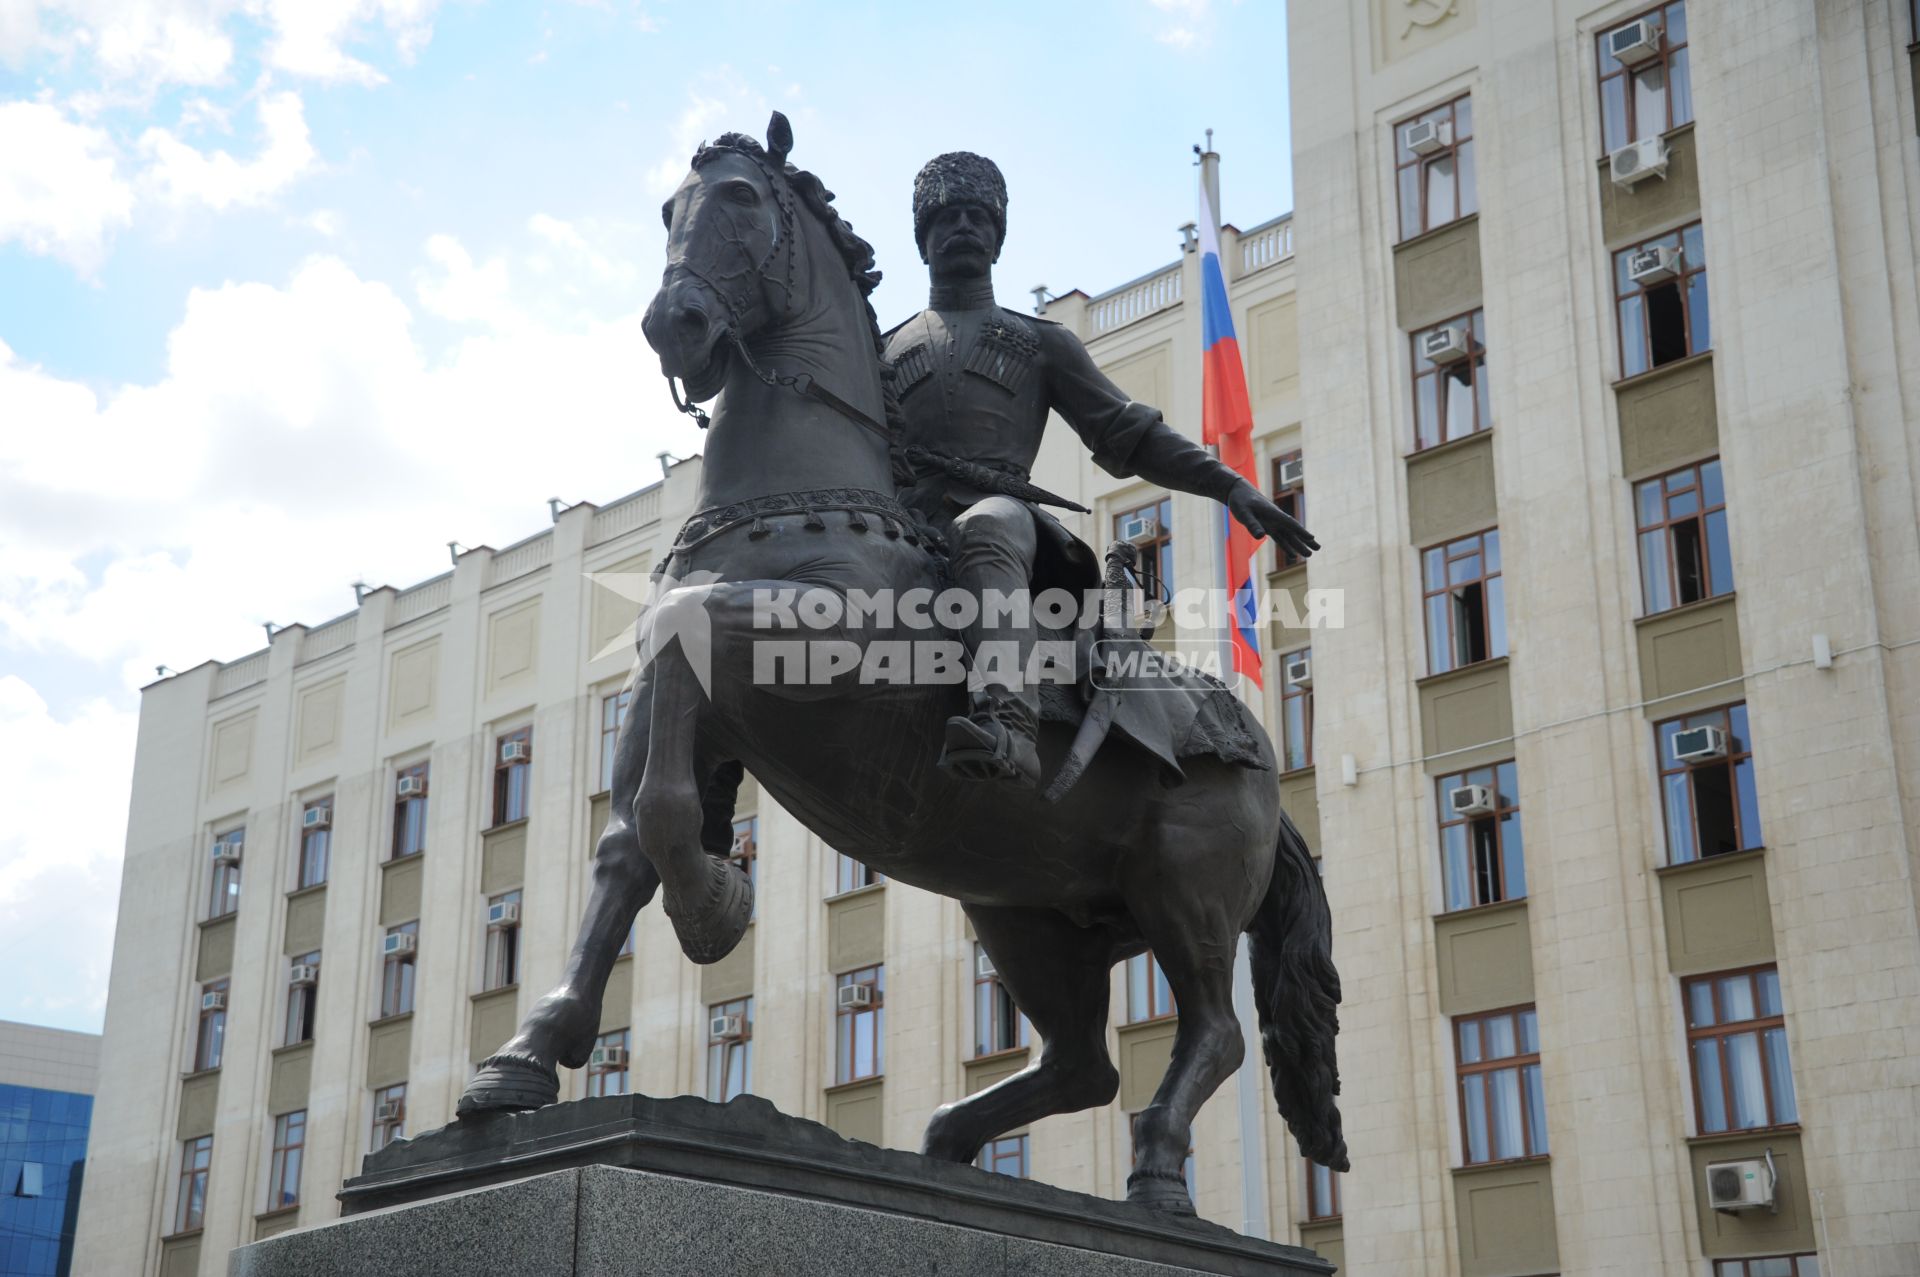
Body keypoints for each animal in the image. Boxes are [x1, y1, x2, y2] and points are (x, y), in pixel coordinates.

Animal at [455, 114, 1344, 1213]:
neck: (797, 506)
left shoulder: (803, 659)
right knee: (1084, 1061)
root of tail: (1261, 758)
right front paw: (523, 1059)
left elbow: (678, 724)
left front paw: (713, 907)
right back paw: (945, 1141)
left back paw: (1155, 1170)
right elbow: (626, 842)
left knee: (1212, 1032)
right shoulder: (677, 708)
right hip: (1024, 913)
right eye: (669, 209)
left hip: (1187, 890)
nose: (677, 323)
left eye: (741, 198)